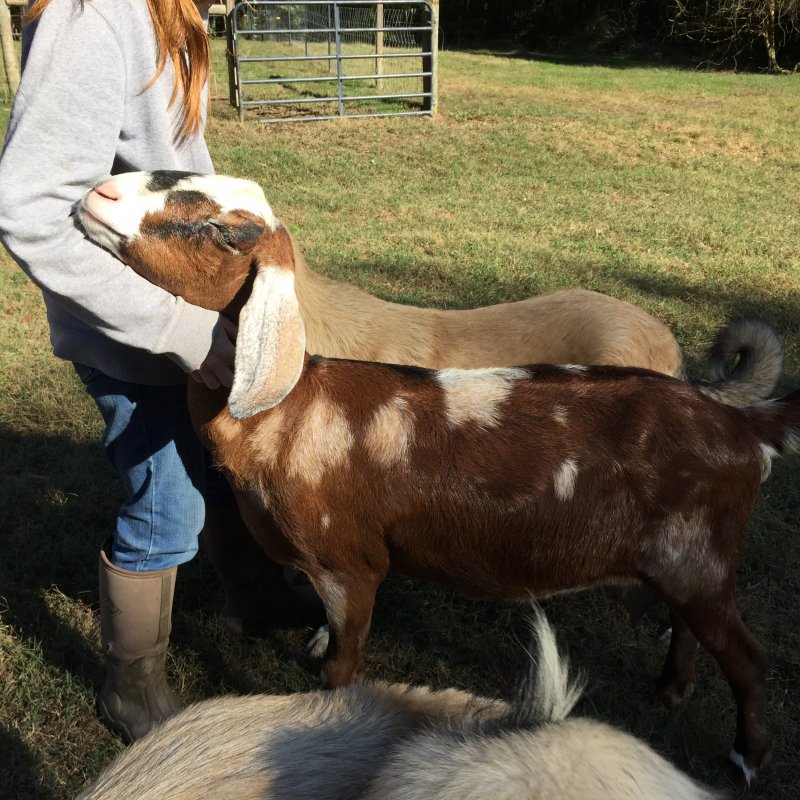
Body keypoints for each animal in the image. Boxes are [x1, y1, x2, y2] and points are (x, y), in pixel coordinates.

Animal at [76, 172, 800, 780]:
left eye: (227, 230)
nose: (98, 193)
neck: (295, 407)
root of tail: (744, 425)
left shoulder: (350, 564)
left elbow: (343, 665)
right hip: (685, 562)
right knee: (692, 629)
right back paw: (670, 690)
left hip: (696, 557)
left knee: (750, 658)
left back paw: (746, 758)